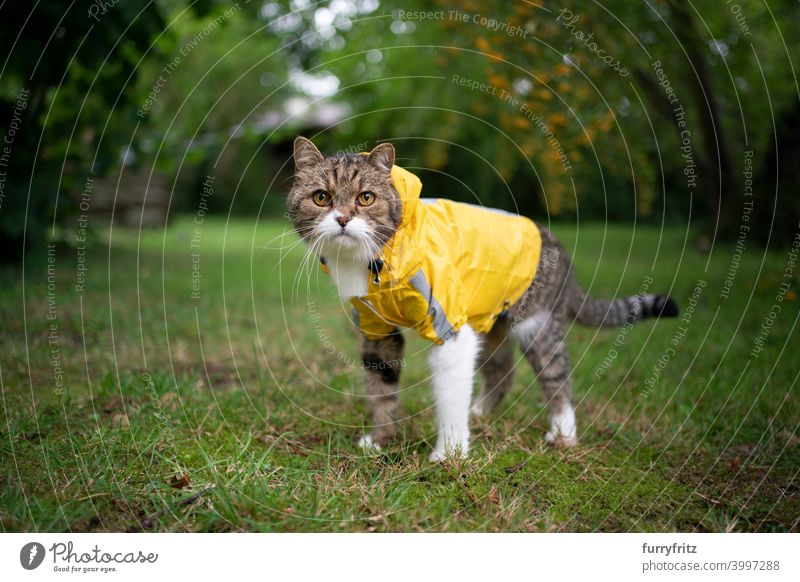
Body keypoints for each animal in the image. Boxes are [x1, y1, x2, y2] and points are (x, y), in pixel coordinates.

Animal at [284, 137, 680, 460]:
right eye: (321, 197)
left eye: (365, 197)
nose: (342, 219)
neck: (376, 261)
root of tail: (562, 252)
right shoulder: (377, 329)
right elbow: (381, 387)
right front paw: (379, 441)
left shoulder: (450, 326)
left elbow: (449, 395)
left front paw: (449, 455)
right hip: (490, 322)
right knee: (503, 371)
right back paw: (480, 414)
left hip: (535, 325)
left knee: (558, 376)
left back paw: (563, 434)